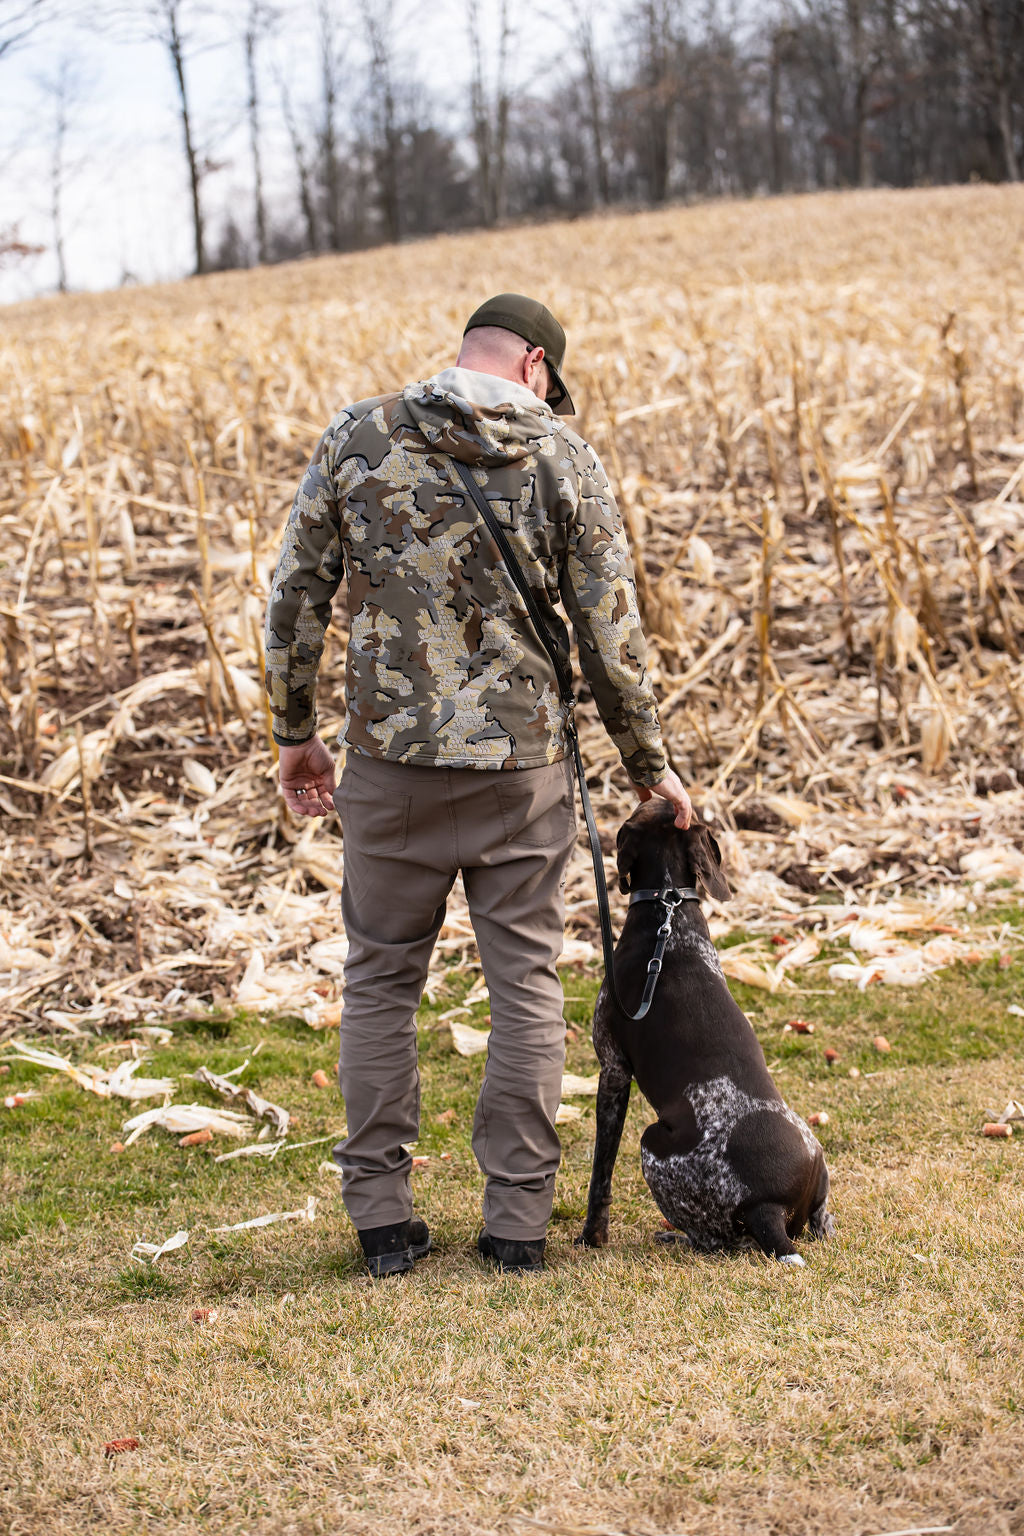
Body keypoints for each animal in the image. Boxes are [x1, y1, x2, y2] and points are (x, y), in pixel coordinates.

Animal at [577, 798, 835, 1265]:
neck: (668, 909)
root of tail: (769, 1208)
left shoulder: (613, 1068)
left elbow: (600, 1174)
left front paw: (592, 1236)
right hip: (818, 1169)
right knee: (820, 1226)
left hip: (653, 1146)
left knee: (714, 1243)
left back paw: (676, 1238)